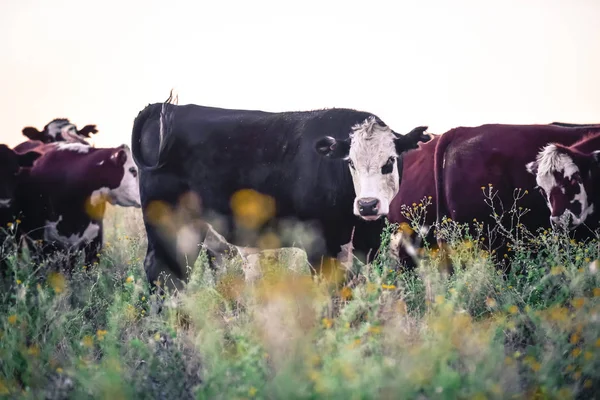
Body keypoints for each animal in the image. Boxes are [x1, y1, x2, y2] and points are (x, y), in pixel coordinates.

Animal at [132, 92, 432, 290]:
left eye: (389, 161)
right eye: (351, 163)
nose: (368, 204)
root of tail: (163, 109)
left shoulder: (368, 242)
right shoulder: (318, 244)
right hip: (169, 221)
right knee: (161, 269)